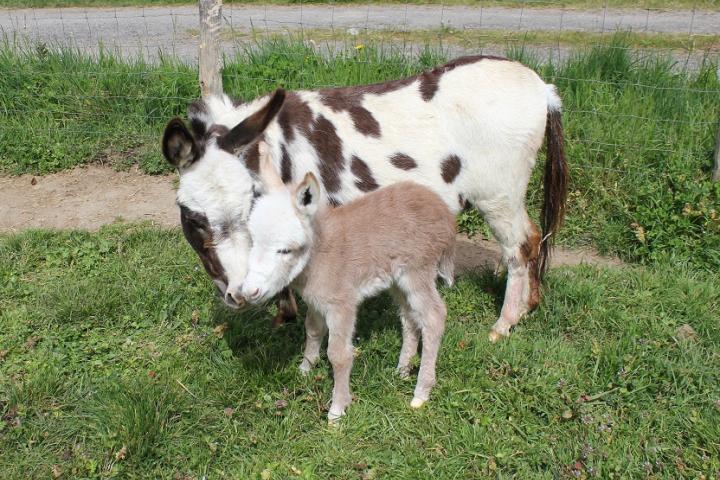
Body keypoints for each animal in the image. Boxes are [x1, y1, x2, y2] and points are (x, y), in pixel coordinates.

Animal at [243, 142, 456, 420]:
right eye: (253, 241)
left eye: (285, 250)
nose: (249, 291)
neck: (320, 252)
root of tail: (444, 213)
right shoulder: (316, 300)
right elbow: (313, 329)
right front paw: (305, 369)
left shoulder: (341, 304)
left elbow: (339, 354)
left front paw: (337, 409)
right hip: (397, 279)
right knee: (410, 317)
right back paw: (402, 370)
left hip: (417, 270)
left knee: (433, 316)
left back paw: (421, 393)